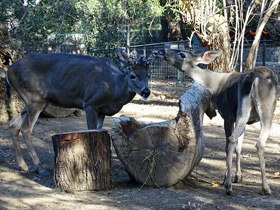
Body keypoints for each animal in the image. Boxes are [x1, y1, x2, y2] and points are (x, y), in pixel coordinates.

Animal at [6, 48, 158, 175]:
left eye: (148, 74)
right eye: (132, 75)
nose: (146, 91)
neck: (114, 88)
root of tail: (8, 70)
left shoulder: (102, 111)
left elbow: (99, 130)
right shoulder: (90, 103)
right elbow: (91, 129)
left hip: (39, 101)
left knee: (13, 124)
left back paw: (23, 166)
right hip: (35, 98)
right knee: (25, 129)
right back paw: (39, 168)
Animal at [159, 48, 278, 195]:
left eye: (182, 54)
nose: (162, 50)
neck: (216, 85)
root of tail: (254, 79)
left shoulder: (231, 115)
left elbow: (236, 146)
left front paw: (236, 177)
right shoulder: (231, 115)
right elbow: (234, 146)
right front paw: (233, 177)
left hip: (251, 109)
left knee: (237, 140)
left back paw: (236, 185)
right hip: (262, 108)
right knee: (254, 143)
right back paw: (260, 187)